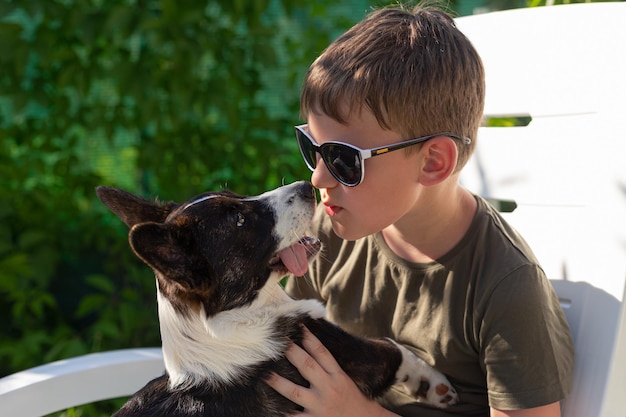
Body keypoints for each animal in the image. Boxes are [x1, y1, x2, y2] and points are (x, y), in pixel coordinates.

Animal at [98, 180, 458, 414]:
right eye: (239, 220)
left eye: (235, 194)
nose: (307, 185)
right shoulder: (353, 352)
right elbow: (396, 349)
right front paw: (436, 387)